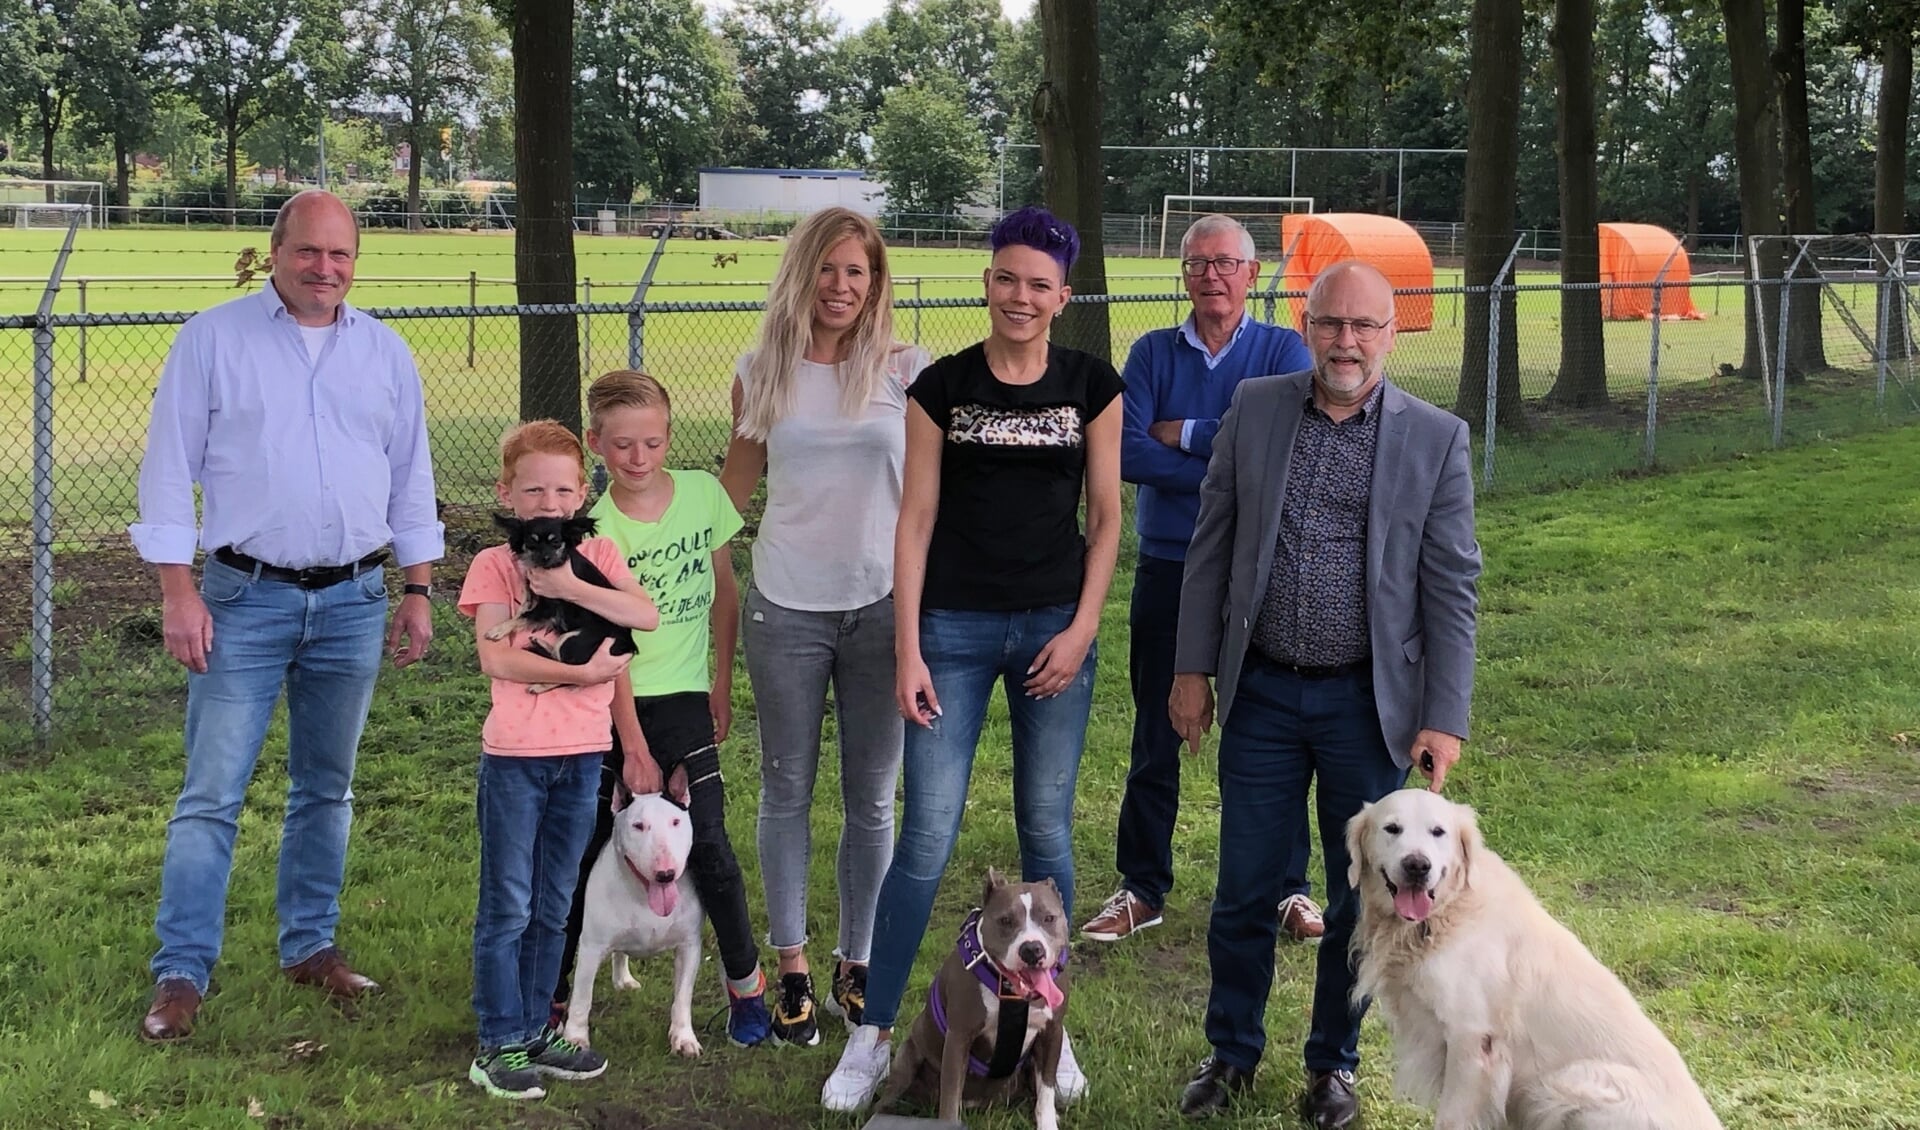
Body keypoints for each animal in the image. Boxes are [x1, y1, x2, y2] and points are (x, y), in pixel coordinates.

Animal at [879, 867, 1075, 1120]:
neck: (1012, 994)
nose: (1032, 949)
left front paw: (1049, 1121)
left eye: (1049, 918)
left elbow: (1046, 1093)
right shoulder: (958, 1038)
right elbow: (950, 1101)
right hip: (908, 1056)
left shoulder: (1052, 1032)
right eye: (1005, 920)